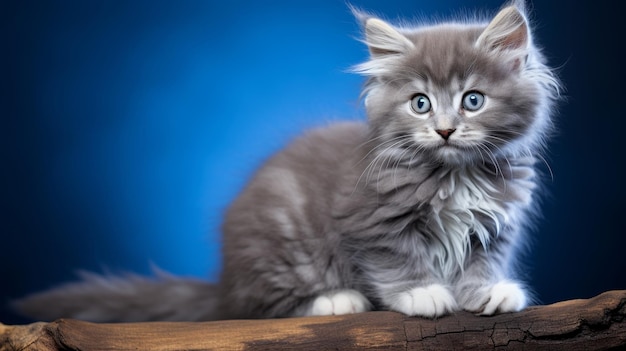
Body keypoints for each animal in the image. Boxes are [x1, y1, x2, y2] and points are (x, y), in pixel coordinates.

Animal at [15, 1, 560, 324]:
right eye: (420, 103)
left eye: (473, 100)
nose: (444, 130)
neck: (454, 173)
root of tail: (225, 281)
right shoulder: (371, 221)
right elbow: (397, 260)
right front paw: (423, 293)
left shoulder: (495, 223)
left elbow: (481, 260)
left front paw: (487, 291)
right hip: (279, 246)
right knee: (257, 308)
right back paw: (334, 300)